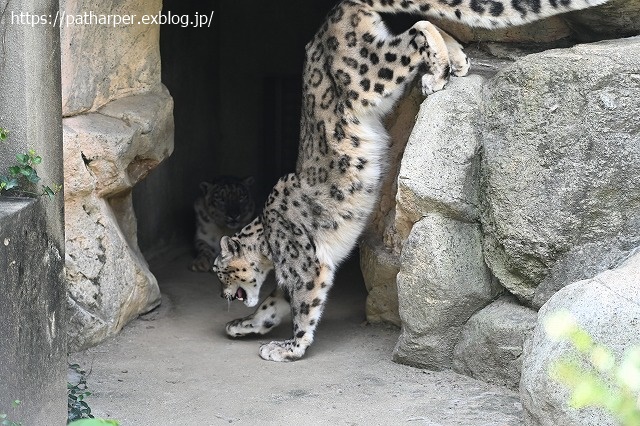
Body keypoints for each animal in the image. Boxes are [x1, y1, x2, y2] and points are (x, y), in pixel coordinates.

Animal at [212, 0, 608, 362]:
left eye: (220, 271)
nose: (221, 295)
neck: (268, 244)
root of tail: (336, 12)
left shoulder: (303, 266)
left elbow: (302, 308)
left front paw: (289, 348)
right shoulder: (291, 273)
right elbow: (270, 306)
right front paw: (242, 326)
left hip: (365, 75)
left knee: (417, 29)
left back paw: (437, 73)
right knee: (431, 24)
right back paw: (458, 62)